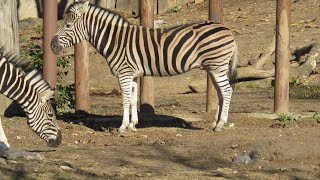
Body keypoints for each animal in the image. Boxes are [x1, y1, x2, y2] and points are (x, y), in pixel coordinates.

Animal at [51, 1, 238, 134]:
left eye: (67, 26)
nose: (52, 46)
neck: (115, 40)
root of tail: (228, 30)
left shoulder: (124, 73)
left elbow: (126, 99)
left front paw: (122, 127)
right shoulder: (132, 74)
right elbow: (133, 99)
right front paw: (132, 125)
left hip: (217, 66)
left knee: (227, 91)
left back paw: (220, 124)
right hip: (213, 68)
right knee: (221, 93)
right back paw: (215, 123)